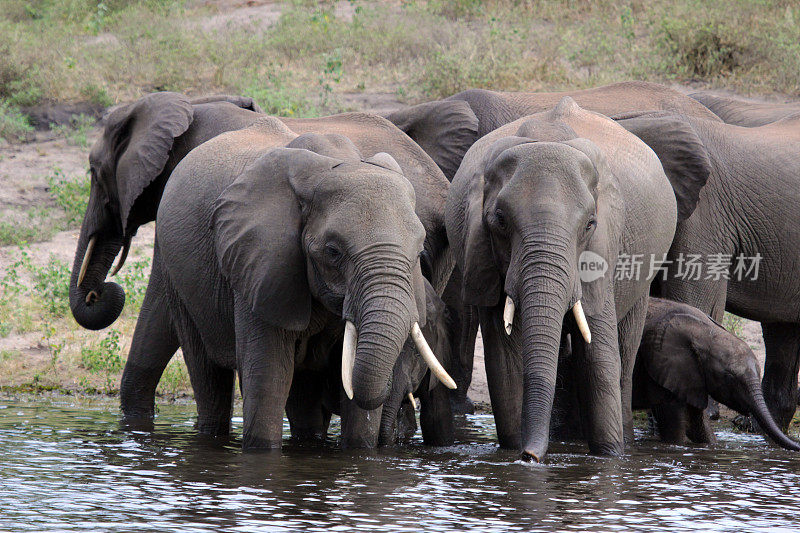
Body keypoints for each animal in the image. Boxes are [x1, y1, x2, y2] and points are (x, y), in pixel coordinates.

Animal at [153, 114, 460, 446]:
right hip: (175, 272)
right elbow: (269, 378)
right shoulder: (260, 266)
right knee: (207, 375)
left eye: (419, 252)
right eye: (333, 251)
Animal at [444, 97, 712, 460]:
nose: (531, 456)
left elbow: (599, 359)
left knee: (624, 351)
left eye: (590, 224)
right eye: (499, 220)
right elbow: (505, 363)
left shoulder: (605, 249)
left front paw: (611, 456)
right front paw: (514, 455)